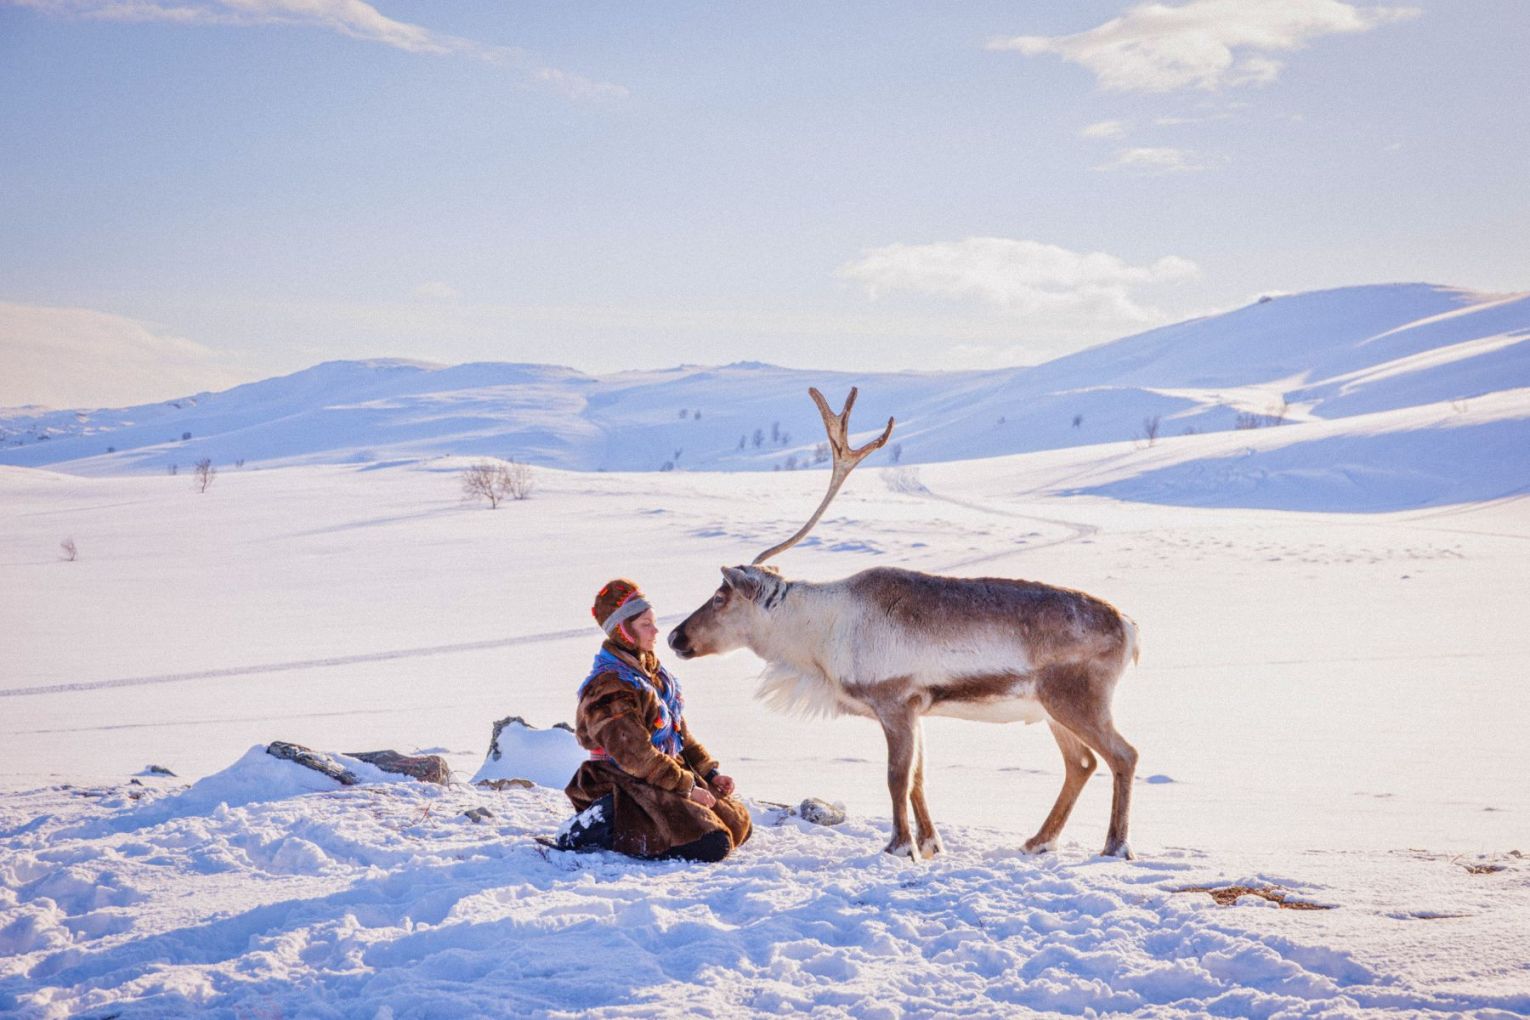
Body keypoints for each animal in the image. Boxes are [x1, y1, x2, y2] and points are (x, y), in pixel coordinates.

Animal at [668, 387, 1141, 860]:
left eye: (719, 597)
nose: (675, 636)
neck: (819, 639)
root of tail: (1129, 628)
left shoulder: (895, 701)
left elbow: (897, 777)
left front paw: (899, 845)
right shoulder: (917, 708)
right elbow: (917, 779)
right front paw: (930, 843)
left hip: (1077, 698)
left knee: (1123, 755)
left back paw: (1115, 845)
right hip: (1050, 708)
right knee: (1081, 763)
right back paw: (1038, 841)